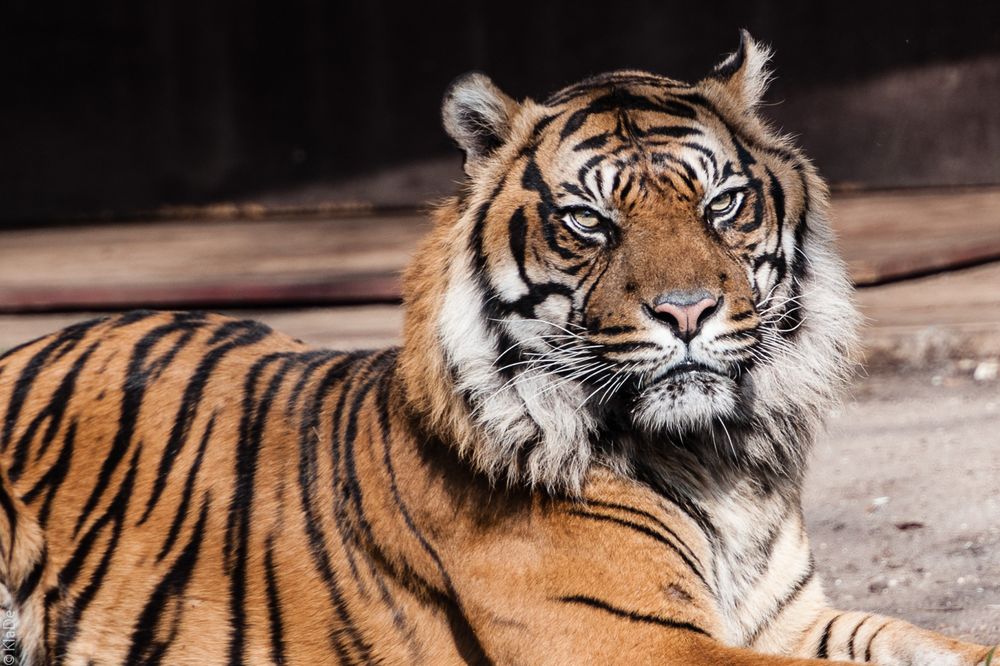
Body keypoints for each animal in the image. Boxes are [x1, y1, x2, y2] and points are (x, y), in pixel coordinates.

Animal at [0, 31, 992, 664]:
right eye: (589, 223)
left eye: (722, 205)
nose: (688, 311)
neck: (717, 457)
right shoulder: (632, 639)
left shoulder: (783, 618)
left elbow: (924, 641)